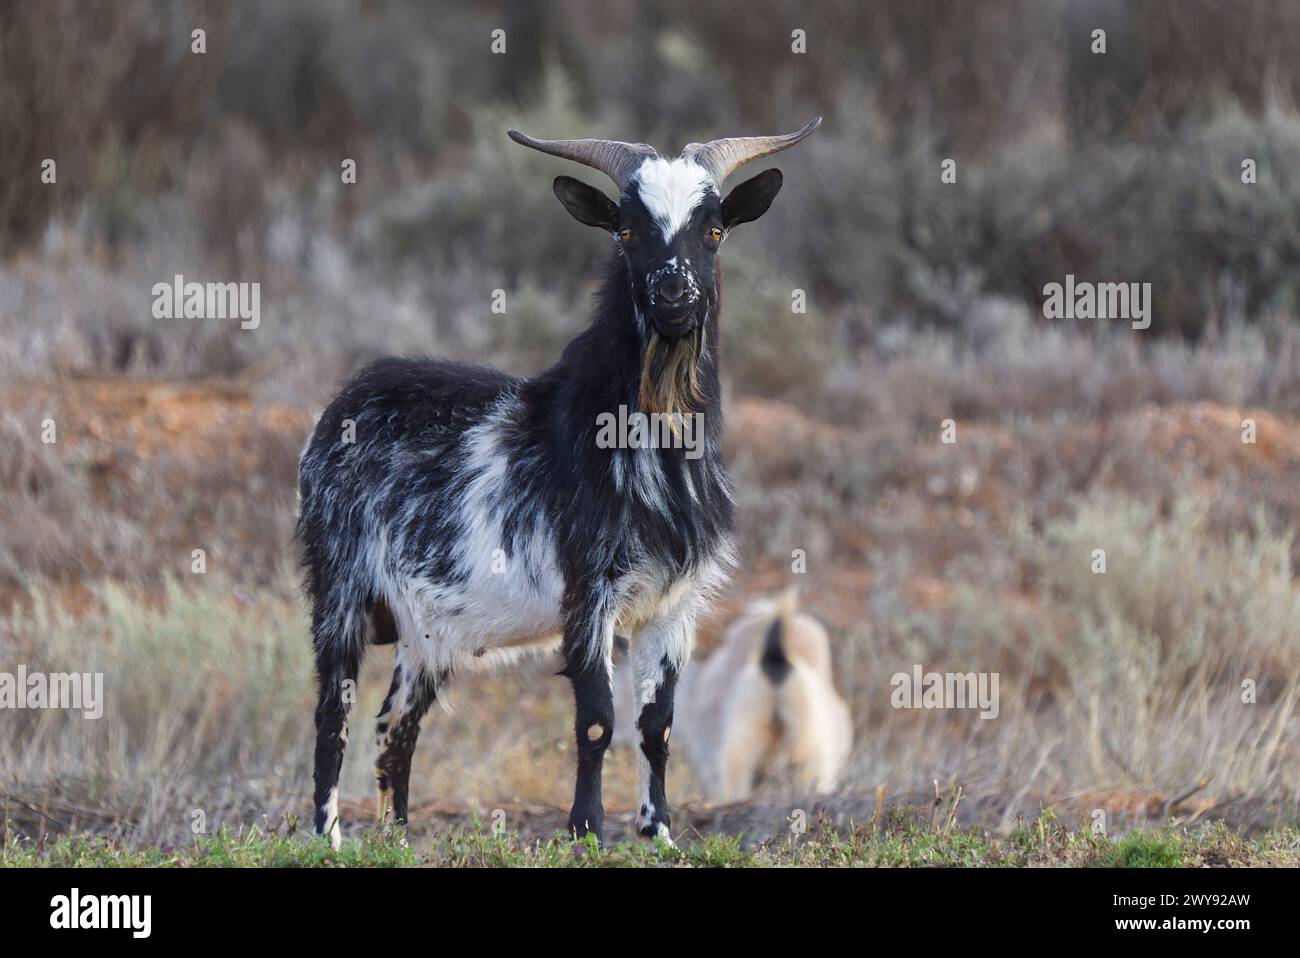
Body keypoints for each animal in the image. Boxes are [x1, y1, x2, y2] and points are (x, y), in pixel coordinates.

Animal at [297, 118, 821, 847]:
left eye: (714, 228)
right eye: (626, 230)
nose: (674, 297)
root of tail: (342, 402)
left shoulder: (671, 606)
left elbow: (656, 728)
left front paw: (658, 833)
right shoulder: (587, 592)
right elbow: (597, 719)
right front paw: (587, 831)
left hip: (427, 628)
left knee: (395, 723)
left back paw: (397, 835)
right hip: (342, 585)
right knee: (333, 711)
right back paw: (328, 835)